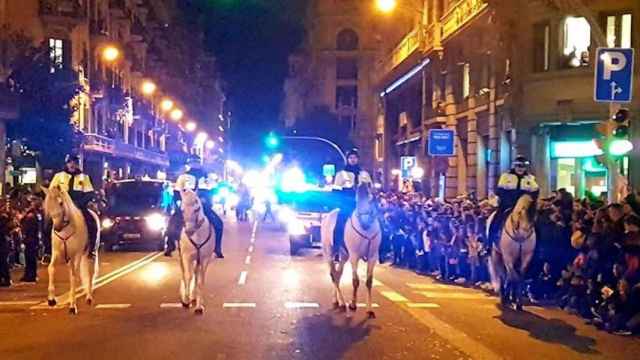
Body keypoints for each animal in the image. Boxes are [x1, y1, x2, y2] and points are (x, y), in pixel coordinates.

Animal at [320, 183, 380, 318]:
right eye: (356, 201)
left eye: (371, 199)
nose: (365, 223)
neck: (366, 230)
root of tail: (327, 216)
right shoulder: (354, 255)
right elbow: (355, 281)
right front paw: (353, 304)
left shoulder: (373, 256)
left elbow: (369, 281)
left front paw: (369, 309)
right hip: (329, 252)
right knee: (334, 275)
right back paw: (342, 303)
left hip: (344, 255)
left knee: (338, 274)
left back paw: (337, 301)